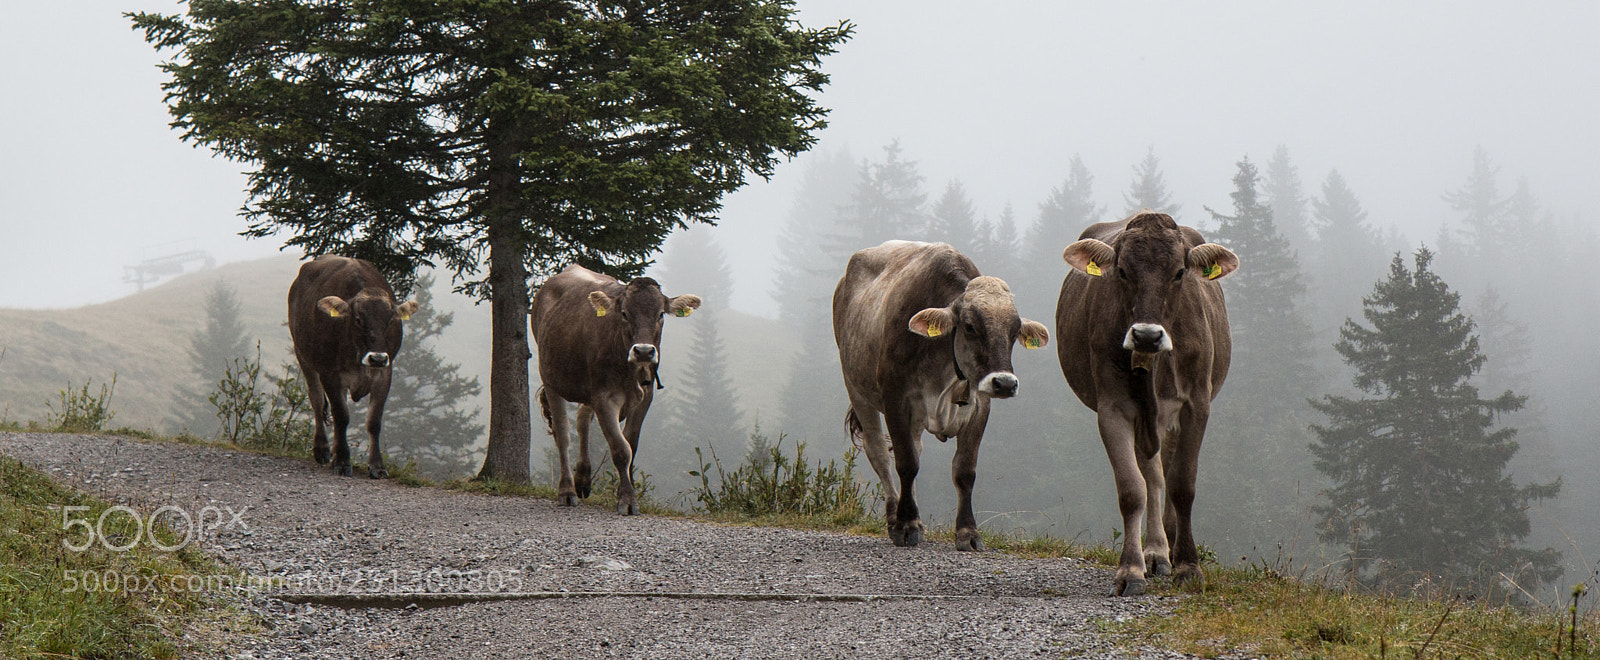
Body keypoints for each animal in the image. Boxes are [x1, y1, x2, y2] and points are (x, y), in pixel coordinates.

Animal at [287, 255, 420, 479]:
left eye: (390, 320)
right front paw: (341, 461)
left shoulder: (385, 373)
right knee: (316, 400)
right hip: (302, 354)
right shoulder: (330, 373)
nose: (377, 358)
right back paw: (322, 450)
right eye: (358, 319)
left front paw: (377, 466)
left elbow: (374, 421)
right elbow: (341, 416)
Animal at [531, 264, 701, 515]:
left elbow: (632, 445)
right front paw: (628, 500)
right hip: (550, 377)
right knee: (562, 434)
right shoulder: (604, 397)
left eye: (660, 314)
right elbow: (620, 449)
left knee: (582, 418)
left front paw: (627, 491)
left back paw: (583, 478)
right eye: (624, 314)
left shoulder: (646, 396)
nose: (643, 351)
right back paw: (568, 491)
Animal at [833, 241, 1050, 550]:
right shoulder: (895, 398)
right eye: (970, 326)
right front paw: (907, 525)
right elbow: (906, 463)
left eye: (1014, 331)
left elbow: (964, 471)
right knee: (879, 453)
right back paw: (894, 517)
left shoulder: (979, 406)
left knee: (913, 449)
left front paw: (968, 533)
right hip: (855, 386)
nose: (1005, 383)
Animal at [1055, 211, 1238, 596]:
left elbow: (1183, 484)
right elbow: (1132, 488)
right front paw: (1131, 570)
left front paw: (1189, 566)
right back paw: (1155, 552)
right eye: (1122, 271)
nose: (1147, 335)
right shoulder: (1113, 407)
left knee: (1164, 473)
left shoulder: (1196, 403)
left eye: (1179, 272)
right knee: (1152, 476)